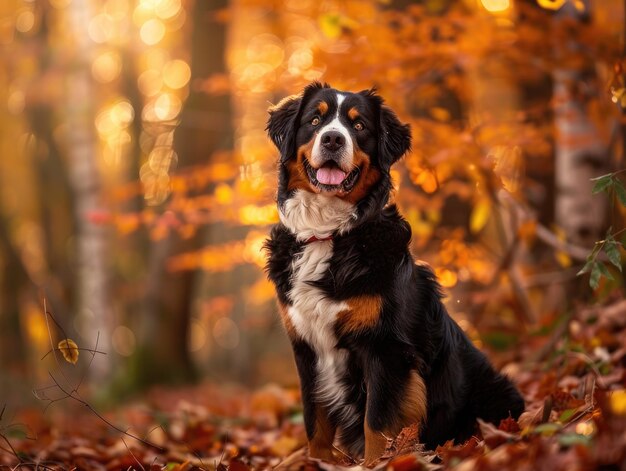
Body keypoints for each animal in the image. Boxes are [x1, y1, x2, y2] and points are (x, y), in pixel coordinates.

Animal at [264, 83, 520, 466]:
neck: (328, 235)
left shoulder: (386, 348)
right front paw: (316, 462)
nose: (333, 139)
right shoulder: (306, 348)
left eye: (358, 126)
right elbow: (315, 422)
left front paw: (376, 465)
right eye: (314, 120)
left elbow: (377, 423)